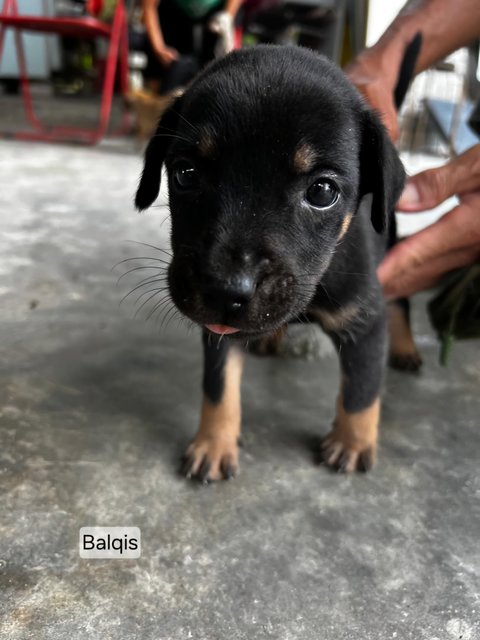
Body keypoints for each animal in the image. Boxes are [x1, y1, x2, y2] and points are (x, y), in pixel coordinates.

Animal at [135, 43, 420, 480]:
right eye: (185, 173)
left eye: (322, 191)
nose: (224, 291)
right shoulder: (219, 333)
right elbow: (219, 388)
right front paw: (212, 444)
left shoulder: (365, 319)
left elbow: (360, 390)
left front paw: (352, 442)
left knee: (402, 302)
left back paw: (406, 347)